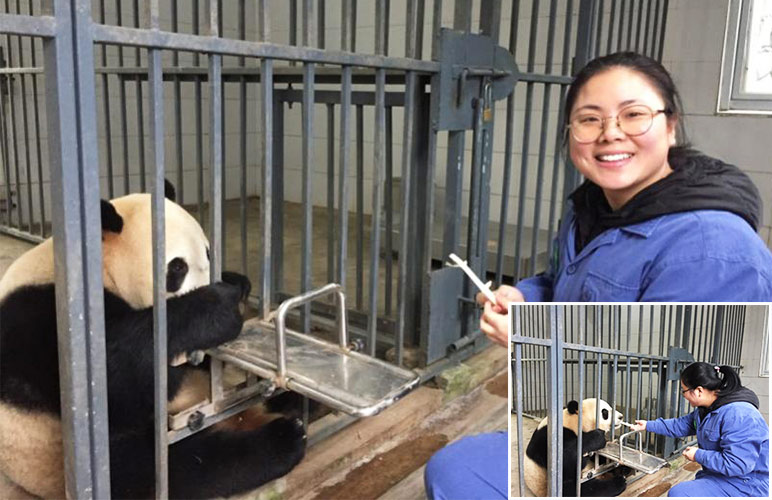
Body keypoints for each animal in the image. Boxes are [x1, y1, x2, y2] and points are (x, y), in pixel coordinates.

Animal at [0, 187, 308, 500]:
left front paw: (237, 284)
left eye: (209, 252)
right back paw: (282, 440)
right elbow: (116, 380)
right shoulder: (42, 319)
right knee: (158, 467)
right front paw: (217, 308)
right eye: (177, 267)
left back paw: (292, 402)